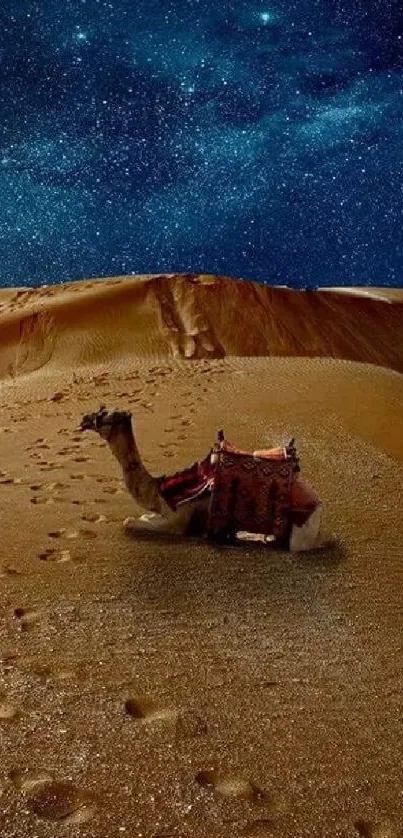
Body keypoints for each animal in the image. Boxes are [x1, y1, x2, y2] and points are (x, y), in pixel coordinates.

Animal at [79, 406, 328, 552]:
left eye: (103, 415)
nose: (83, 419)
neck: (159, 491)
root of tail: (317, 502)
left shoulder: (176, 520)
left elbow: (129, 522)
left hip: (301, 531)